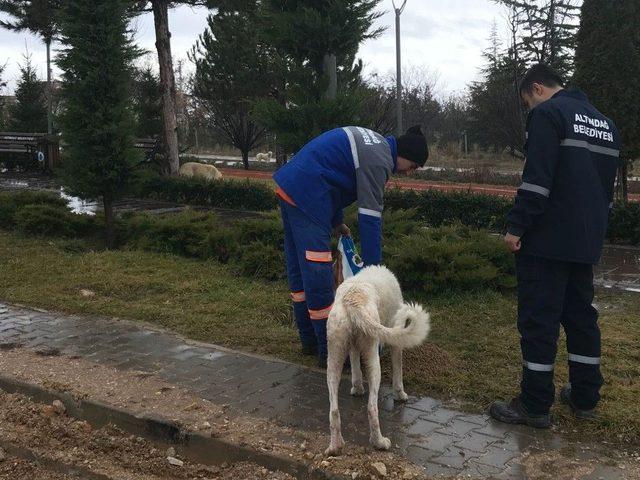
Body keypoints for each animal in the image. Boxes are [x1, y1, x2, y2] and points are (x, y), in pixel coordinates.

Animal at [324, 264, 430, 456]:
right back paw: (379, 442)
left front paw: (357, 389)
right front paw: (400, 395)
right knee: (372, 408)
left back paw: (335, 446)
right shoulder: (396, 342)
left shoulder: (353, 348)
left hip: (334, 357)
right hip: (373, 358)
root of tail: (352, 300)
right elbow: (398, 372)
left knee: (334, 410)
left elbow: (355, 368)